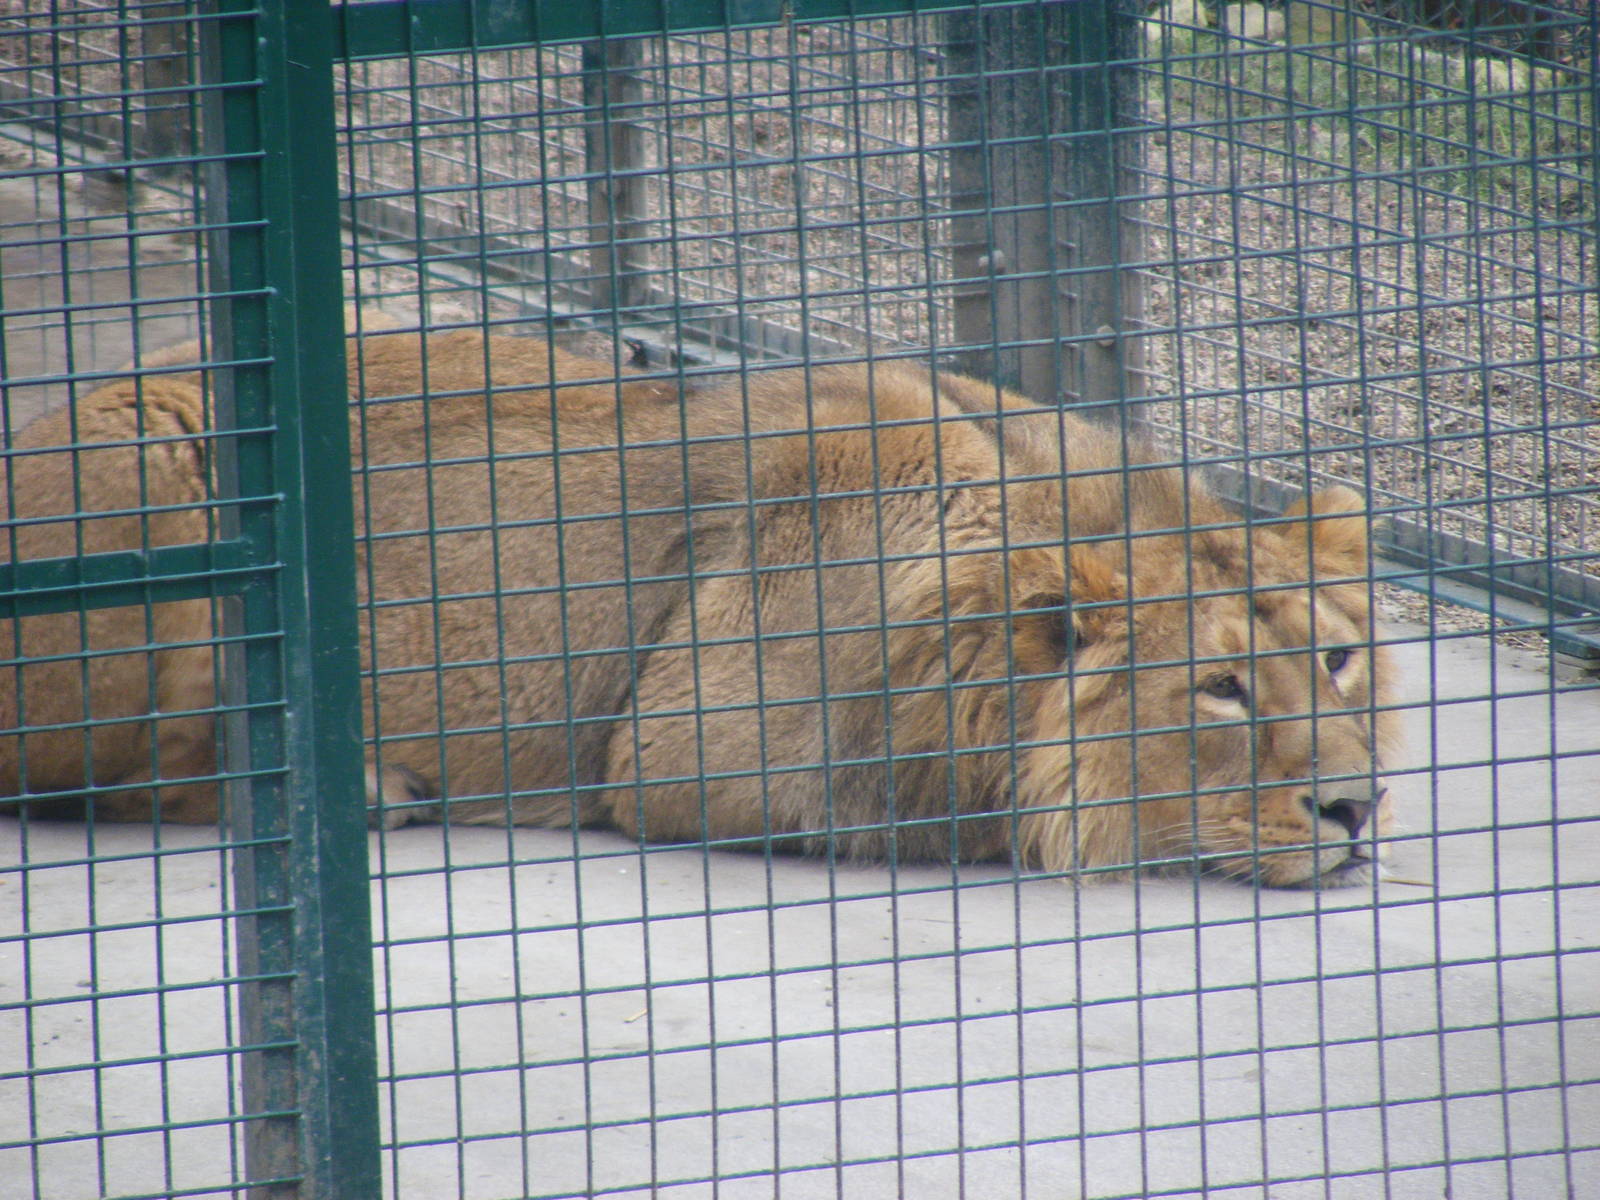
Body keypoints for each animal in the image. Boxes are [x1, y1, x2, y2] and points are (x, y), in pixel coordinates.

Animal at [1, 326, 1399, 886]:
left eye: (1336, 664)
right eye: (1217, 688)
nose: (1354, 810)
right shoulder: (687, 753)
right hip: (144, 451)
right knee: (104, 784)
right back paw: (359, 790)